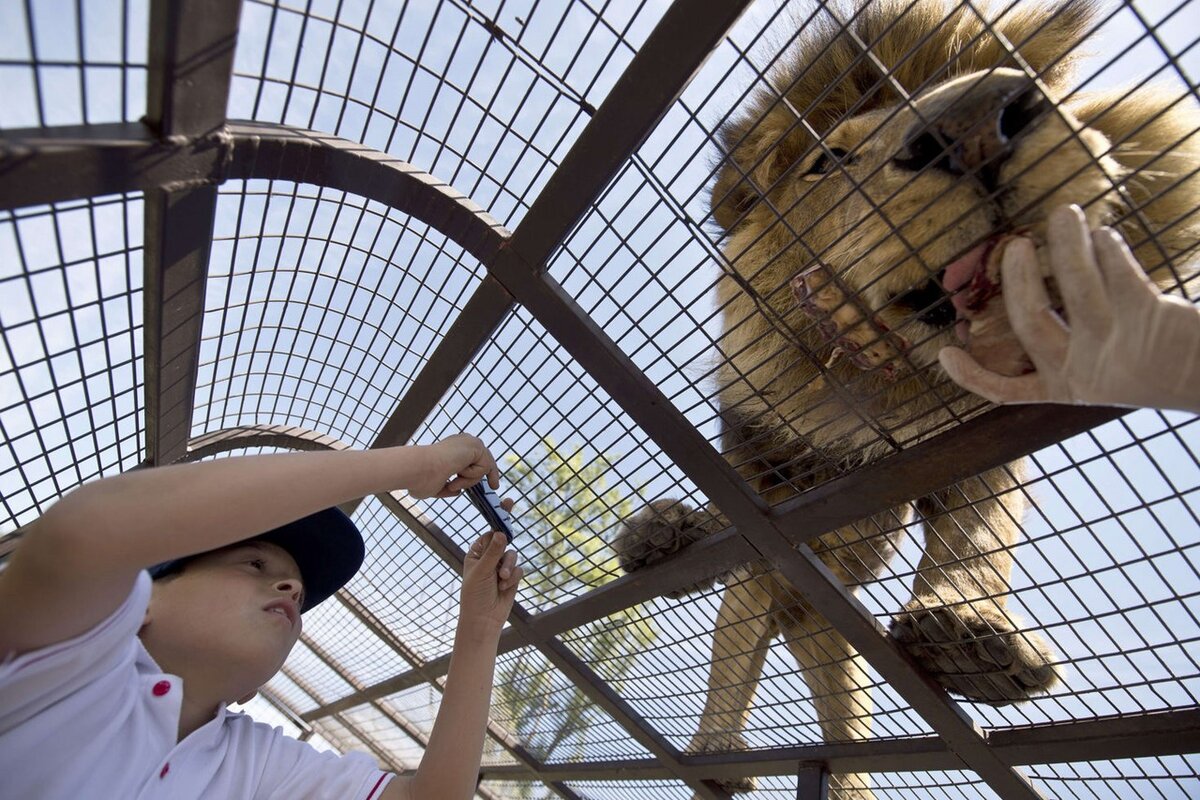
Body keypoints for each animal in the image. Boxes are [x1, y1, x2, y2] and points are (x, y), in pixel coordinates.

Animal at [614, 3, 1195, 796]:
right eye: (829, 159)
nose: (980, 120)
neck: (884, 382)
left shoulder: (981, 446)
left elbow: (977, 535)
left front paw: (966, 635)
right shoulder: (772, 464)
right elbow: (743, 536)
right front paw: (681, 530)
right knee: (741, 618)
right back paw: (709, 720)